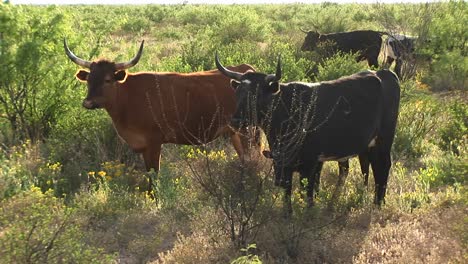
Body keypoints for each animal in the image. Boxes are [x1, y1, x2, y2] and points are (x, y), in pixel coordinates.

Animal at [63, 39, 256, 192]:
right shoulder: (143, 146)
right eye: (88, 80)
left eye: (108, 80)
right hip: (234, 133)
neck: (128, 97)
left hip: (247, 131)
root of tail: (246, 70)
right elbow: (149, 173)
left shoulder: (155, 142)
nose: (88, 102)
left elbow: (155, 174)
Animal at [215, 54, 398, 214]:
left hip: (384, 141)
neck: (288, 110)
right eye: (238, 92)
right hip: (367, 146)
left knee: (382, 167)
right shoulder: (283, 163)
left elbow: (307, 193)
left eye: (258, 95)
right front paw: (288, 215)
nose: (236, 121)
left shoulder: (309, 164)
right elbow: (287, 192)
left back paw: (378, 203)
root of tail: (383, 73)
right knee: (367, 167)